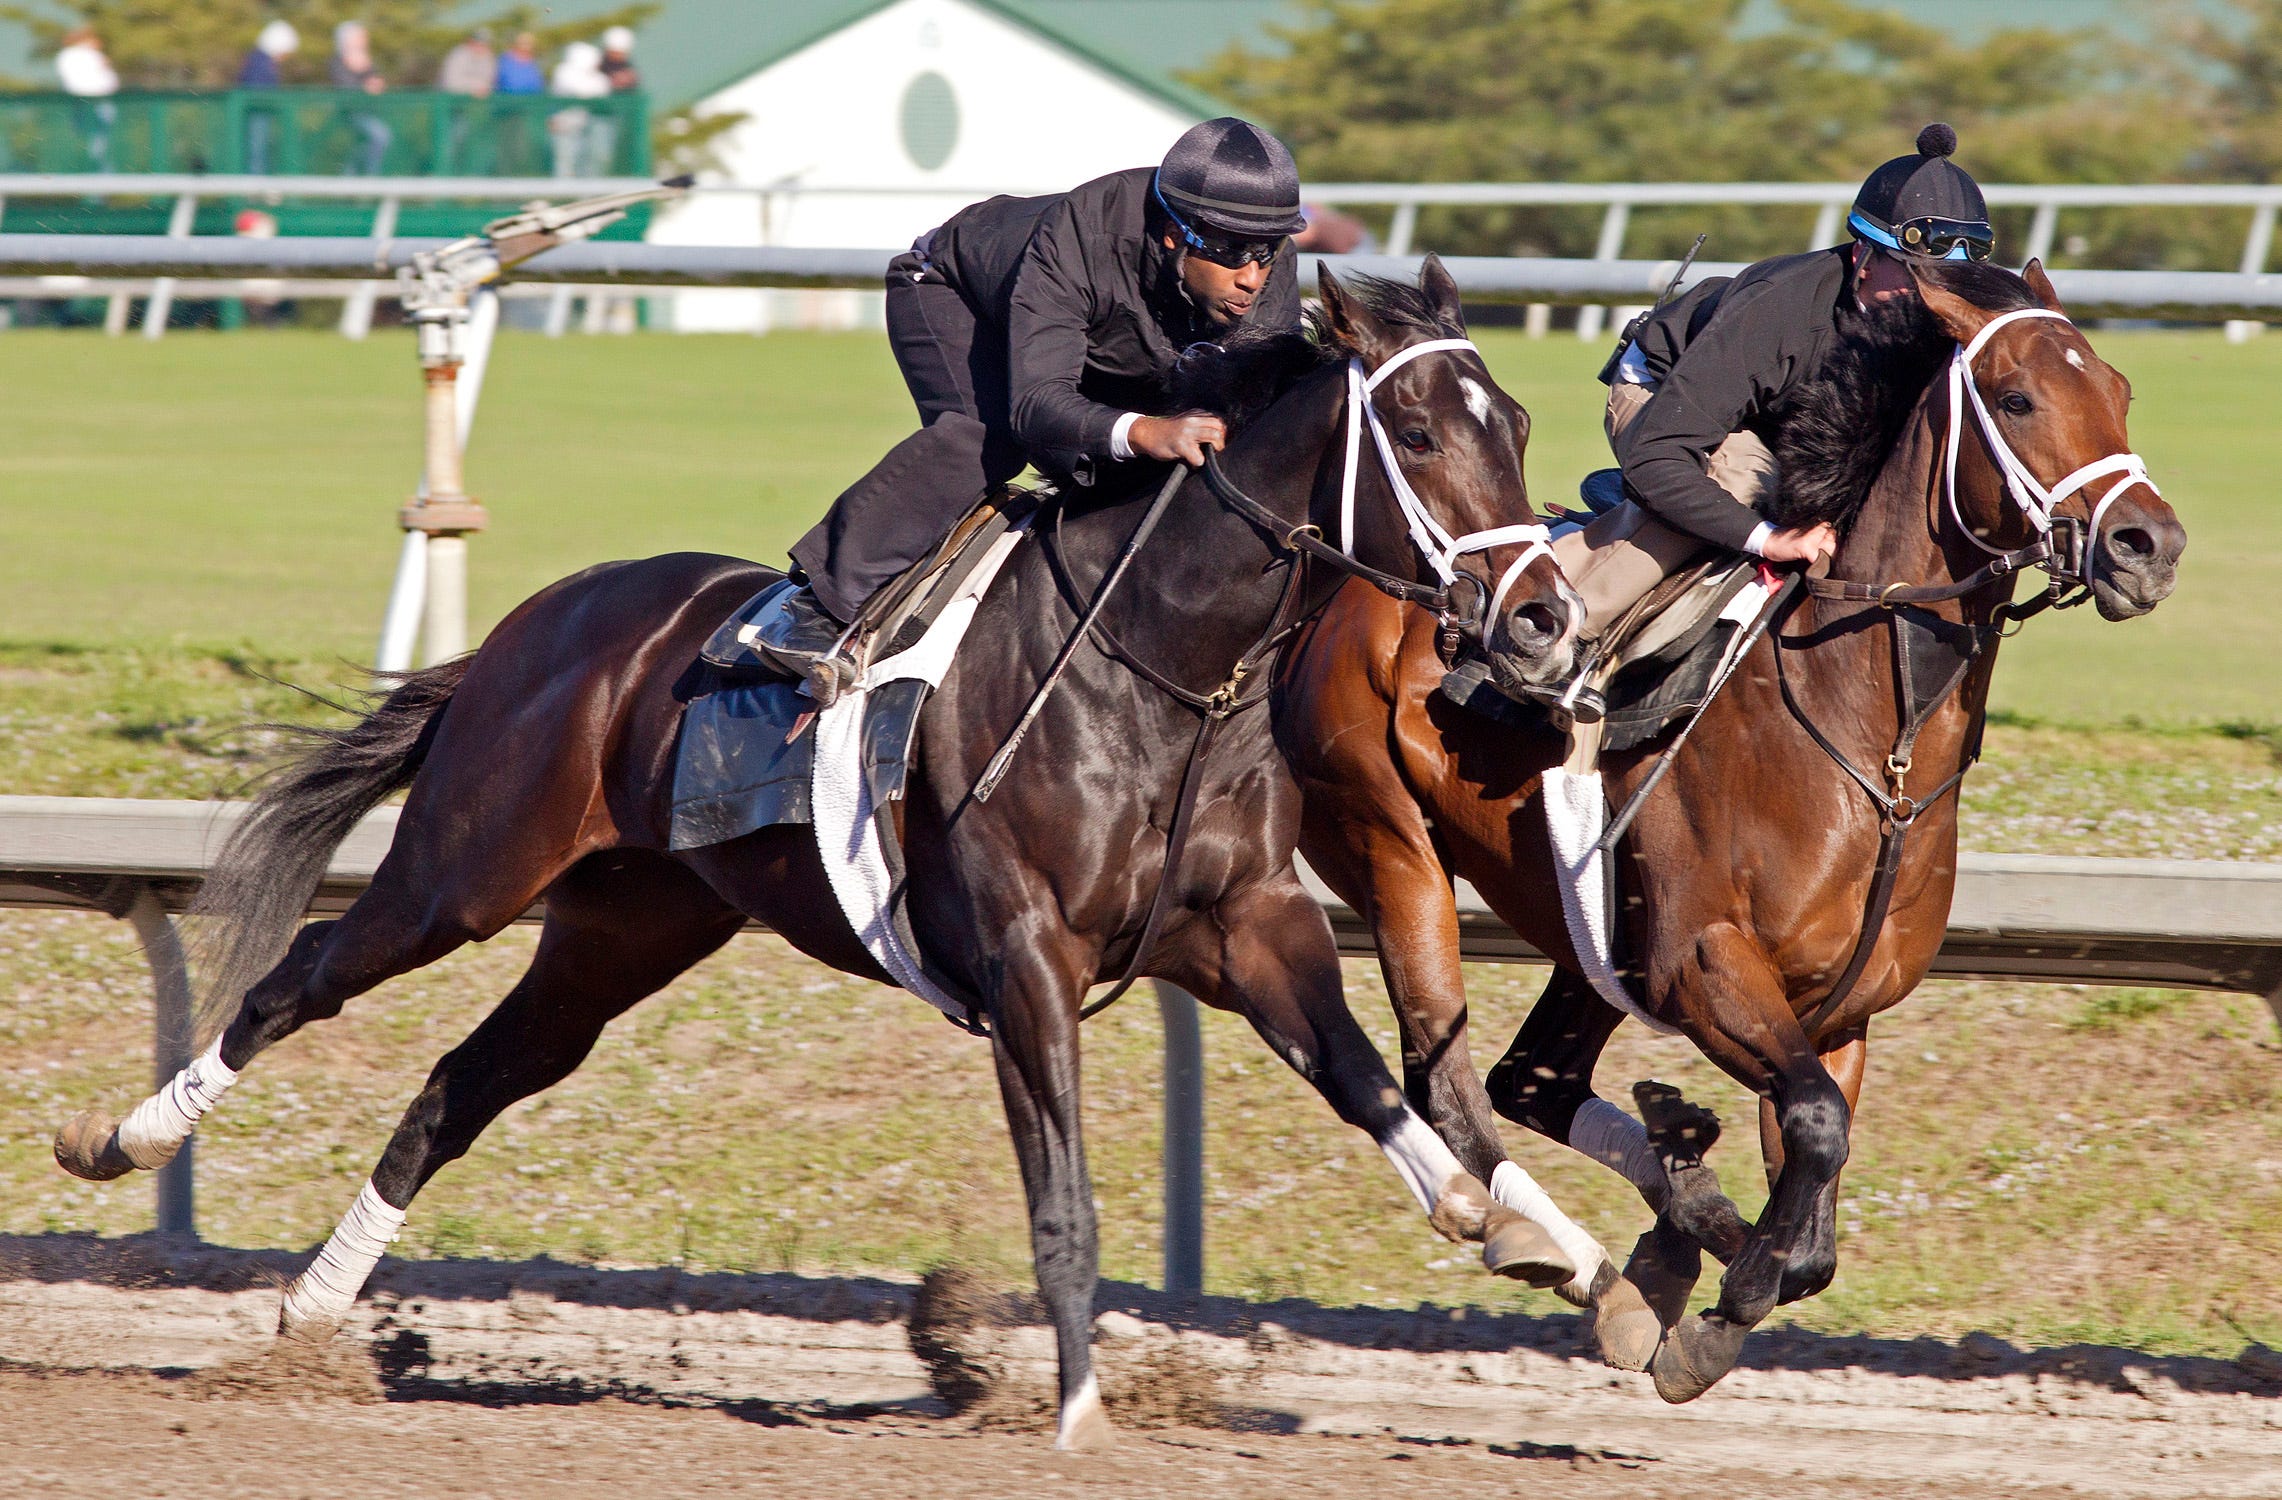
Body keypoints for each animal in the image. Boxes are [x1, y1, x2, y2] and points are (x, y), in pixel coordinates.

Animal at [57, 263, 1588, 1442]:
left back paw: (313, 1304)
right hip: (470, 865)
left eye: (1513, 419)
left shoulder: (1247, 928)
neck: (1162, 666)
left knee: (463, 1082)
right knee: (302, 975)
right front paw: (1078, 1410)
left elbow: (1373, 1085)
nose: (1543, 624)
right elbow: (1066, 1199)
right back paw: (124, 1139)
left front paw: (1536, 1231)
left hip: (622, 928)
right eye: (1413, 427)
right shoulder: (1026, 962)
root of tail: (533, 625)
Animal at [1277, 260, 2181, 1406]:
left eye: (2117, 388)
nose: (2148, 545)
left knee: (1531, 1078)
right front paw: (1715, 1302)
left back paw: (1660, 1216)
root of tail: (1339, 589)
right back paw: (1575, 1248)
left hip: (1590, 930)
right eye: (2017, 399)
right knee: (1449, 1078)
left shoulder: (1836, 1010)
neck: (1872, 745)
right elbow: (1815, 1137)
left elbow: (1813, 1205)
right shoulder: (1703, 966)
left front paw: (1711, 1238)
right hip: (1391, 844)